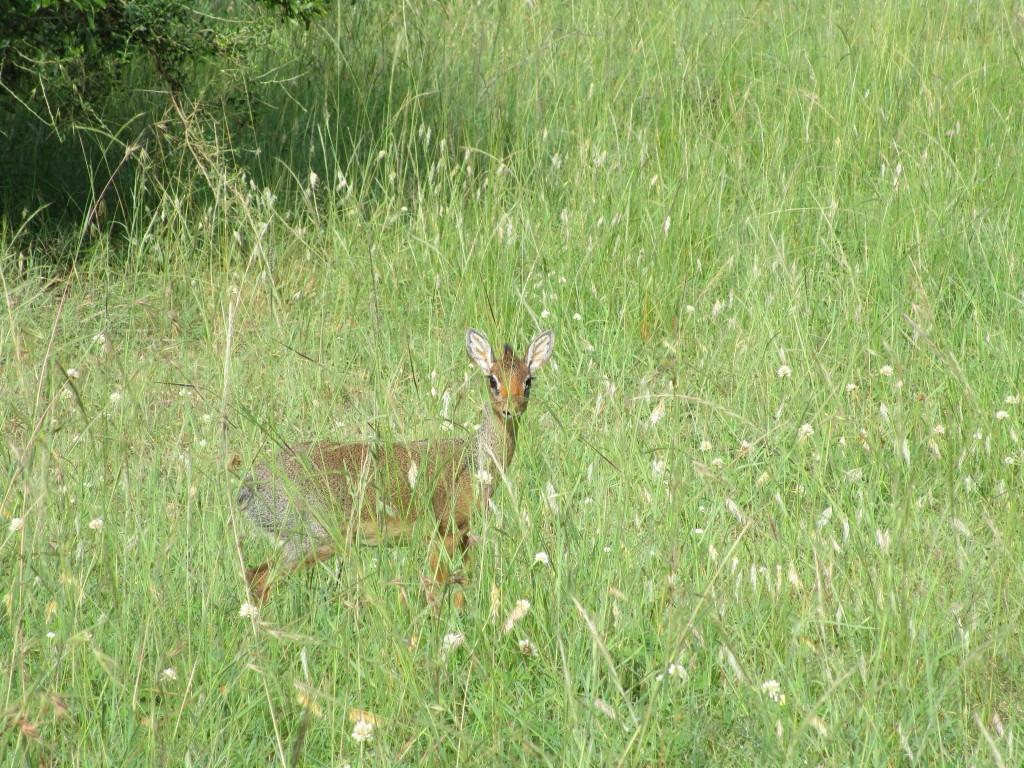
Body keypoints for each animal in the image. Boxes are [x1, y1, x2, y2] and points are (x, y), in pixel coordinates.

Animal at [236, 327, 557, 606]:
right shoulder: (444, 533)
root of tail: (249, 484)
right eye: (492, 380)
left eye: (528, 380)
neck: (473, 461)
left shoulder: (463, 536)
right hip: (311, 539)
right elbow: (437, 587)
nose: (511, 409)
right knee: (259, 577)